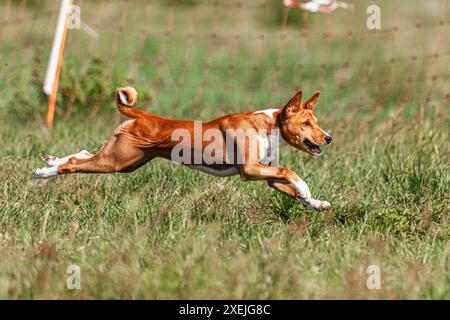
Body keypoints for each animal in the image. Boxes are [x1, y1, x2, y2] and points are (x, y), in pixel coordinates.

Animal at [32, 89, 334, 211]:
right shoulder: (249, 170)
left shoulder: (267, 175)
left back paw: (50, 161)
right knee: (74, 164)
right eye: (306, 123)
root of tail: (143, 115)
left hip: (126, 161)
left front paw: (317, 202)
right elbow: (290, 172)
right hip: (117, 161)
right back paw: (43, 173)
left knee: (81, 154)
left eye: (316, 121)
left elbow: (291, 189)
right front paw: (307, 189)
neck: (266, 125)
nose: (328, 138)